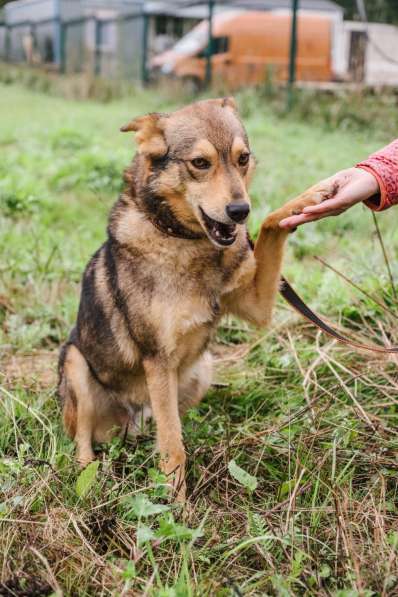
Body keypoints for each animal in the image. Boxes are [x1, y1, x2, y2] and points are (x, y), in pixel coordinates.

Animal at [58, 96, 332, 498]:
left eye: (243, 158)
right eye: (200, 163)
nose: (240, 211)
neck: (186, 241)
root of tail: (131, 422)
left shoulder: (256, 306)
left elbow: (270, 226)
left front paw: (305, 201)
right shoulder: (158, 360)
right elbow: (174, 449)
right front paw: (179, 506)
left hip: (202, 368)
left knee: (164, 424)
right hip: (76, 363)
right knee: (83, 440)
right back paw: (87, 479)